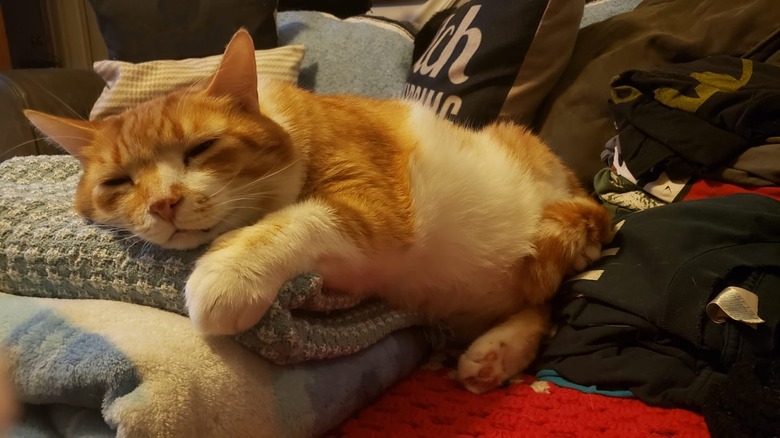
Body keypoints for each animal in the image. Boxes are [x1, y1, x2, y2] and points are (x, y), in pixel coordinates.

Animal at [22, 30, 608, 394]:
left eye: (202, 148)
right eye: (118, 182)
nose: (163, 202)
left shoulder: (379, 210)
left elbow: (299, 218)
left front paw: (227, 274)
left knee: (546, 298)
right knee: (538, 308)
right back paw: (496, 354)